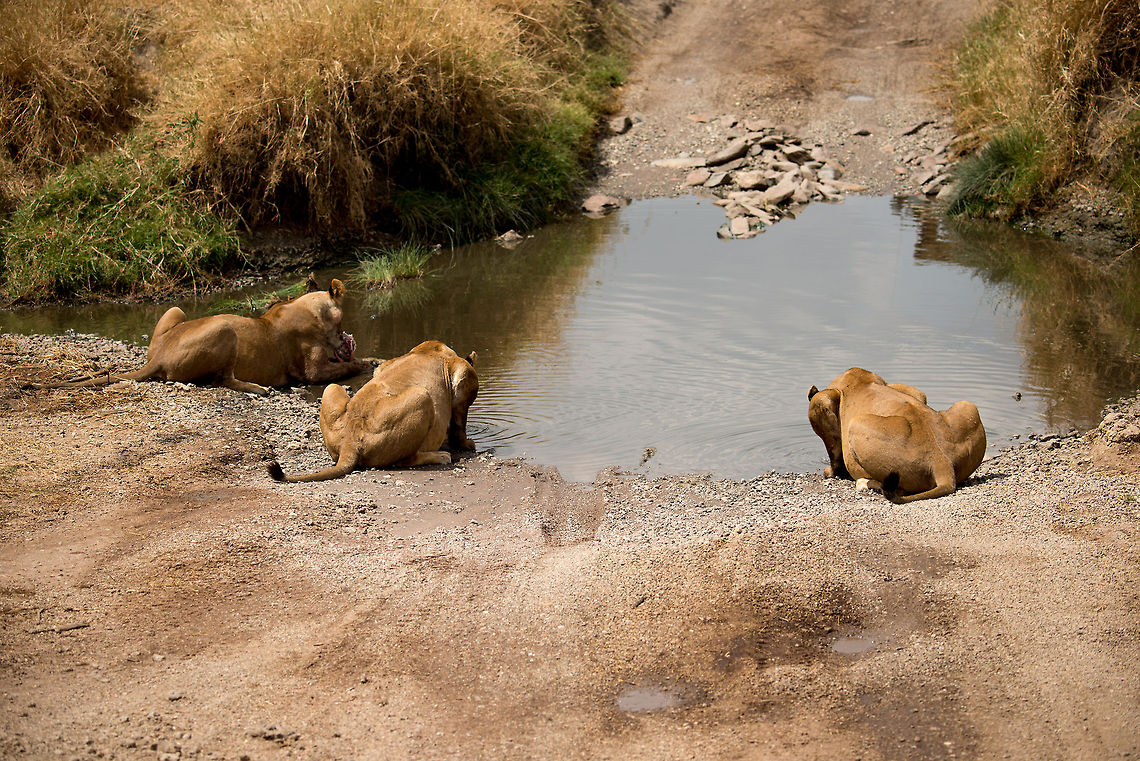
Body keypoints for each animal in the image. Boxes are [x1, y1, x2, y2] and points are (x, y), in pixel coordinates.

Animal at [40, 278, 372, 395]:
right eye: (343, 323)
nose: (349, 338)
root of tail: (159, 356)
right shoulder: (312, 371)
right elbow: (344, 366)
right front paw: (366, 362)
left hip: (175, 310)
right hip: (224, 328)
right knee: (222, 379)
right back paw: (258, 388)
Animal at [268, 340, 478, 482]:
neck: (430, 350)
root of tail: (350, 441)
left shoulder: (383, 365)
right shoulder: (463, 378)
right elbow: (459, 424)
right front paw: (467, 444)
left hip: (331, 388)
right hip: (422, 396)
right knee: (404, 460)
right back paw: (441, 456)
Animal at [807, 367, 986, 503]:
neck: (857, 379)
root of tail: (941, 462)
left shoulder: (821, 401)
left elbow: (834, 451)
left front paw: (830, 472)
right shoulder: (915, 392)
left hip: (856, 423)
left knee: (897, 489)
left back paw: (863, 482)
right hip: (968, 406)